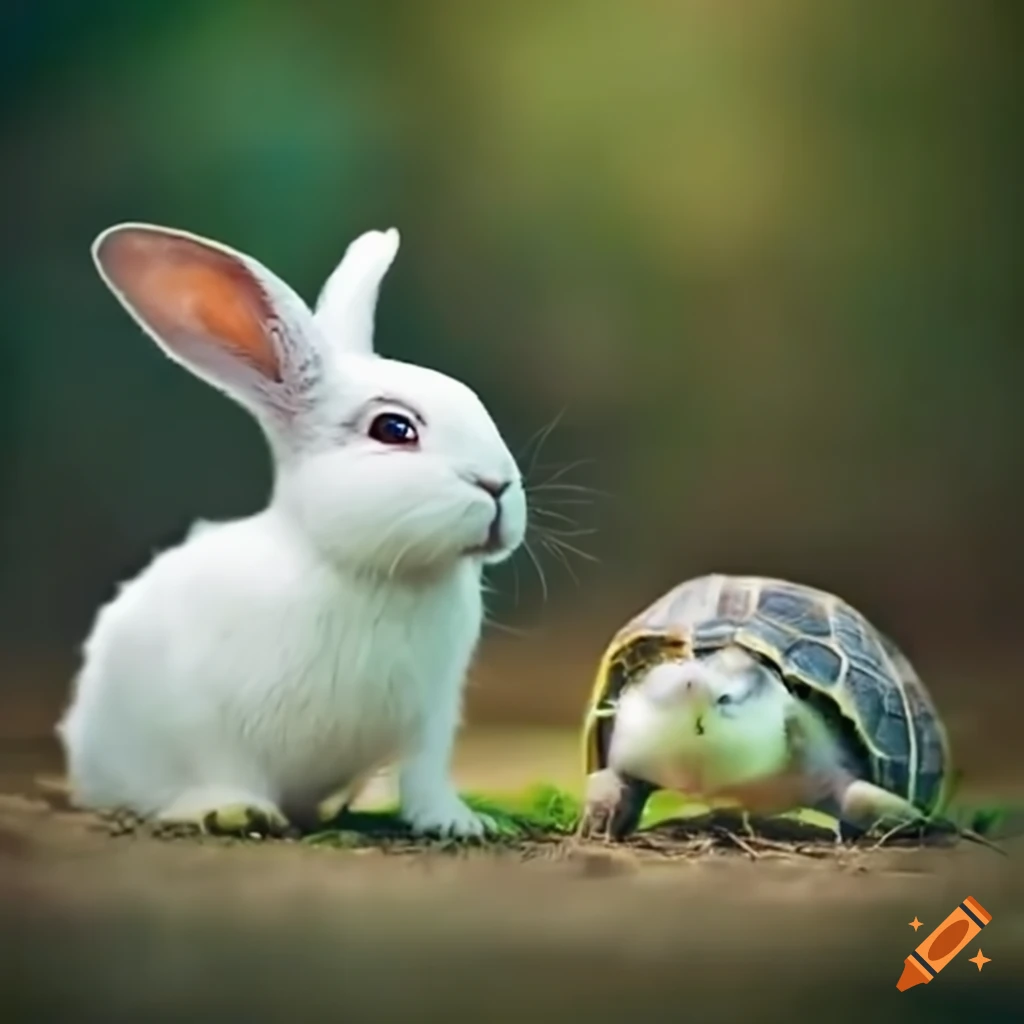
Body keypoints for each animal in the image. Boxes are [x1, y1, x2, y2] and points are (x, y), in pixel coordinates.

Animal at [57, 221, 527, 838]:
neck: (367, 572)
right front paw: (234, 811)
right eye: (394, 429)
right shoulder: (208, 718)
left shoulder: (430, 719)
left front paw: (460, 823)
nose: (498, 485)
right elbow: (225, 768)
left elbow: (424, 779)